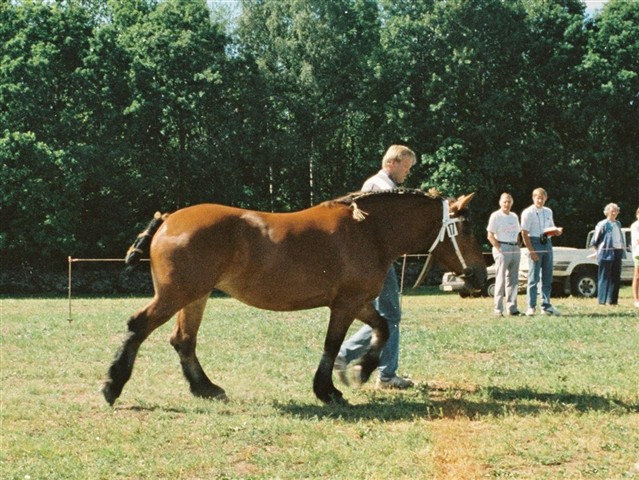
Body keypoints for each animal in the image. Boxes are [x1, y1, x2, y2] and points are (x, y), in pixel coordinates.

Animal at [102, 188, 488, 404]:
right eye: (466, 227)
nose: (479, 276)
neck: (368, 231)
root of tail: (168, 220)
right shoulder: (345, 304)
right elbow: (333, 345)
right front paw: (328, 390)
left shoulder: (359, 302)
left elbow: (381, 328)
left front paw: (361, 370)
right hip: (177, 295)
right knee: (139, 326)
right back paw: (112, 386)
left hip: (195, 296)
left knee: (183, 340)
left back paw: (206, 388)